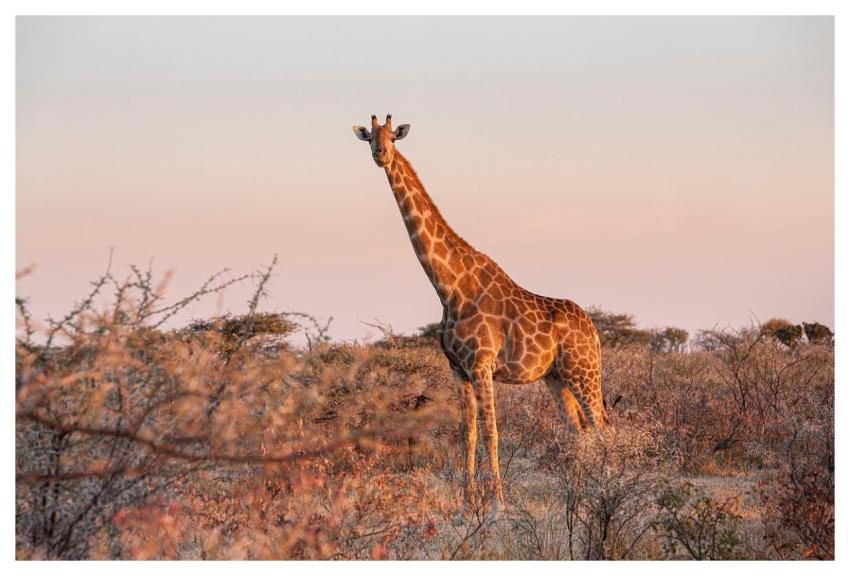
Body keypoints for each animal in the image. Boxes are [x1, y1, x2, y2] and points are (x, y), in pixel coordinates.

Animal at [353, 115, 608, 515]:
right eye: (369, 138)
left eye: (392, 136)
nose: (380, 154)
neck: (450, 286)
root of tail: (594, 330)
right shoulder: (457, 368)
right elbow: (467, 432)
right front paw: (466, 503)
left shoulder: (482, 365)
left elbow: (491, 432)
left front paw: (497, 505)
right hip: (556, 377)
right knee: (579, 431)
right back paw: (579, 500)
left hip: (584, 372)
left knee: (602, 428)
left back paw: (609, 492)